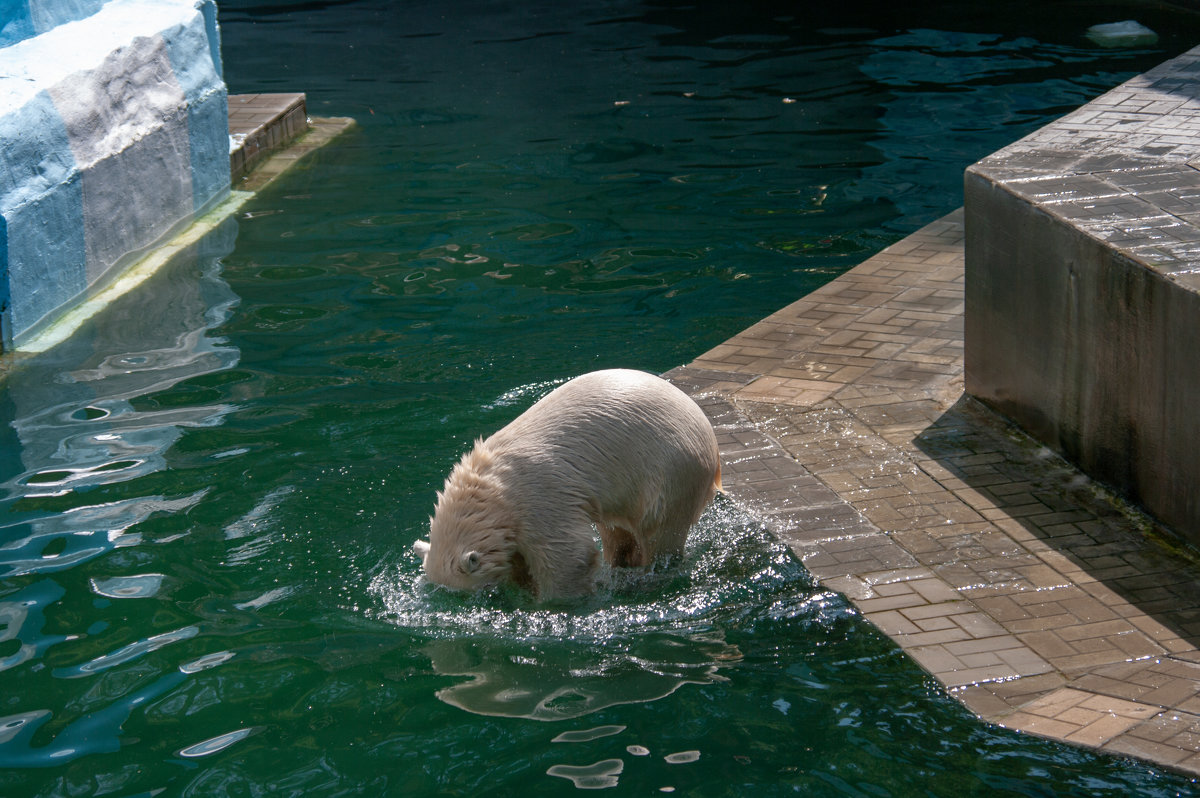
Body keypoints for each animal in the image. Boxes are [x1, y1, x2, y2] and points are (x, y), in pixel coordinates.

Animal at [412, 367, 720, 597]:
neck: (489, 488)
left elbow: (569, 557)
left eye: (483, 587)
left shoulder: (539, 497)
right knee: (617, 531)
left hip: (670, 473)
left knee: (658, 533)